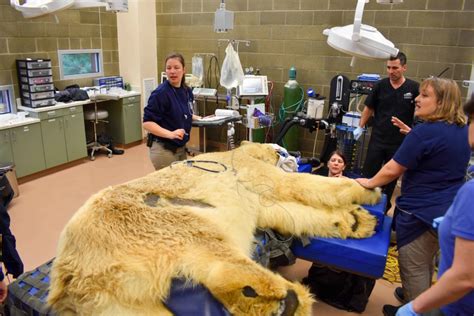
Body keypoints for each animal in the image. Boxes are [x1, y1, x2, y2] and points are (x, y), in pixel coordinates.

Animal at [49, 142, 382, 314]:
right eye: (279, 148)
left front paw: (356, 220)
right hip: (158, 222)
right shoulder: (251, 170)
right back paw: (280, 298)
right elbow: (296, 184)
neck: (237, 153)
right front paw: (369, 190)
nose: (285, 153)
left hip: (112, 298)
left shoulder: (258, 194)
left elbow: (286, 211)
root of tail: (71, 272)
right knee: (214, 252)